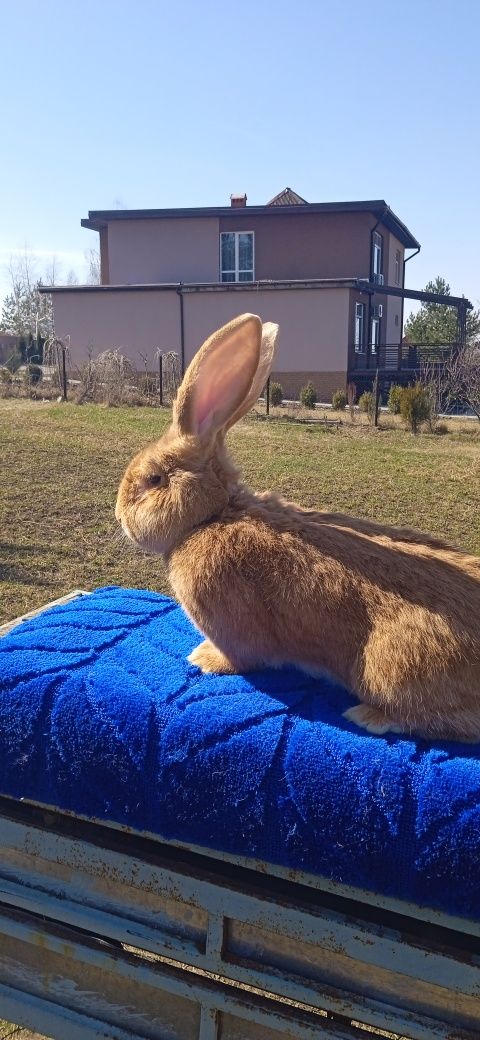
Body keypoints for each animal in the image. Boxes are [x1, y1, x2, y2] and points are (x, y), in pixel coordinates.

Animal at [116, 312, 480, 744]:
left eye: (153, 479)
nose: (118, 516)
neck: (214, 514)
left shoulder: (233, 632)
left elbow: (239, 658)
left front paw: (203, 658)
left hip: (392, 668)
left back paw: (368, 716)